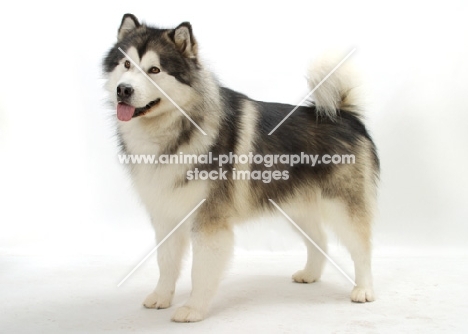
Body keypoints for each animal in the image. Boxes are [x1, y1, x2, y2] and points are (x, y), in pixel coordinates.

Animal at [103, 14, 380, 322]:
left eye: (154, 70)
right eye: (126, 64)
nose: (124, 90)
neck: (174, 131)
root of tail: (343, 115)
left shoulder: (209, 220)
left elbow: (200, 271)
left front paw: (194, 309)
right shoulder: (166, 215)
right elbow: (166, 262)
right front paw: (162, 297)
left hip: (342, 205)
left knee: (362, 248)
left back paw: (364, 290)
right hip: (297, 207)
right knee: (319, 240)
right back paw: (310, 274)